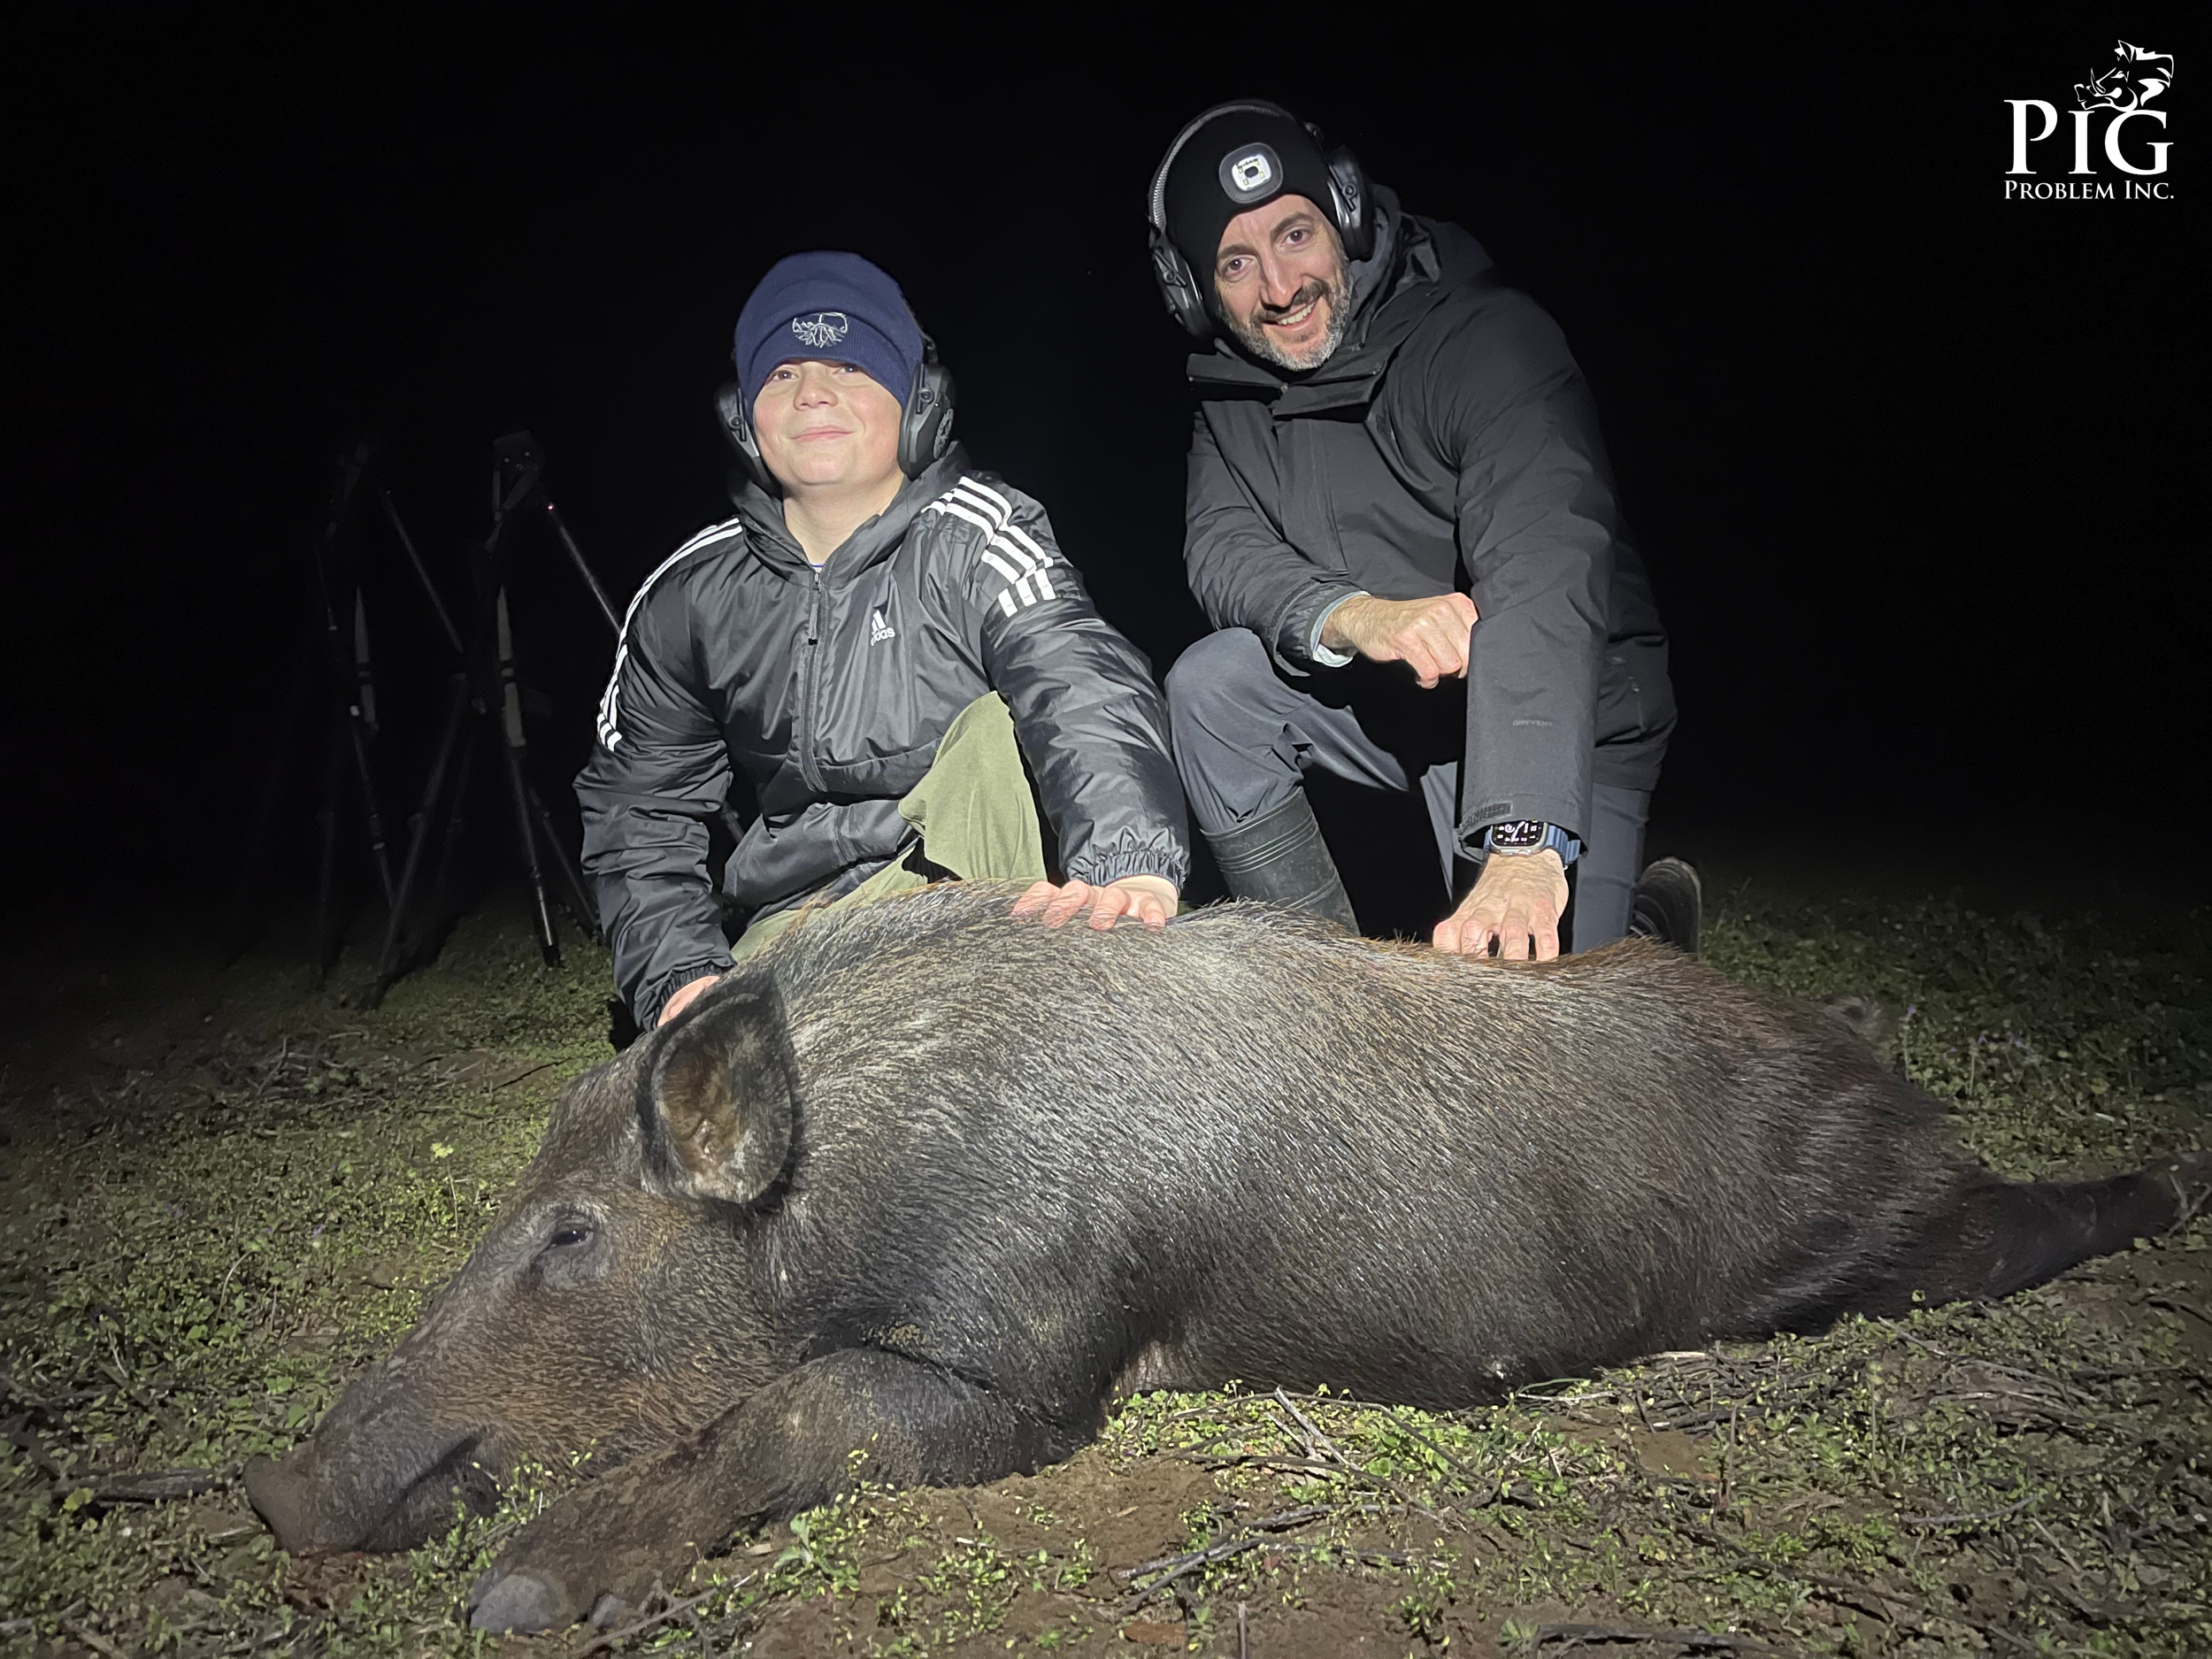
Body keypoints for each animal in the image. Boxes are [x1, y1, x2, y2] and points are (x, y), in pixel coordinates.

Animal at [242, 883, 2205, 1634]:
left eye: (573, 1232)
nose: (273, 1491)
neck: (863, 1185)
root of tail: (1862, 1051)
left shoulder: (1038, 1371)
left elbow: (790, 1410)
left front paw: (518, 1600)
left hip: (1898, 1226)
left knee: (2019, 1221)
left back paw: (2167, 1185)